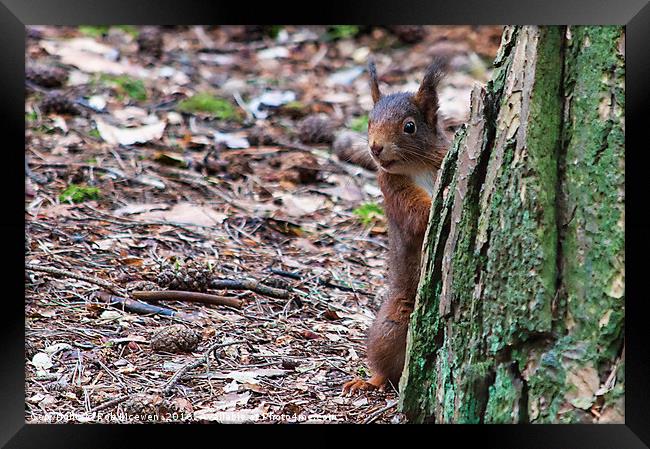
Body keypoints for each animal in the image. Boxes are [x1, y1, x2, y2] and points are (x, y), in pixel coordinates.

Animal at [342, 58, 448, 392]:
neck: (416, 166)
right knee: (381, 365)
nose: (375, 148)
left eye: (409, 126)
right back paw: (368, 381)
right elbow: (416, 217)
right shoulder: (393, 192)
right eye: (368, 122)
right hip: (393, 323)